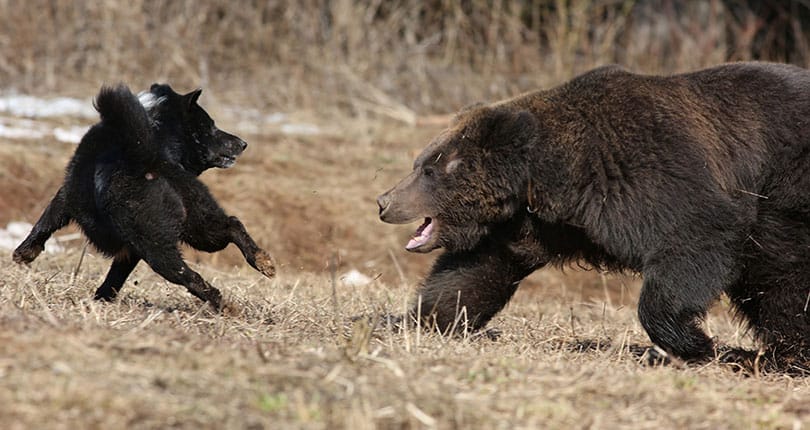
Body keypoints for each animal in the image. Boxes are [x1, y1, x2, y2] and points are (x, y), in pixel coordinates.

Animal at [13, 84, 274, 308]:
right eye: (210, 126)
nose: (243, 143)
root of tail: (143, 156)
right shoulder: (130, 247)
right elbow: (116, 274)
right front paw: (102, 298)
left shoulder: (66, 194)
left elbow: (46, 221)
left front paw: (23, 254)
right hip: (196, 220)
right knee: (230, 225)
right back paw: (261, 262)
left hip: (158, 240)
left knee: (189, 274)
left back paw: (225, 304)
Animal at [376, 62, 808, 364]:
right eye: (420, 163)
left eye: (430, 169)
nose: (384, 201)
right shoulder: (530, 225)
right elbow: (472, 273)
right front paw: (415, 320)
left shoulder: (650, 175)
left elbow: (693, 238)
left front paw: (693, 342)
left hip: (786, 189)